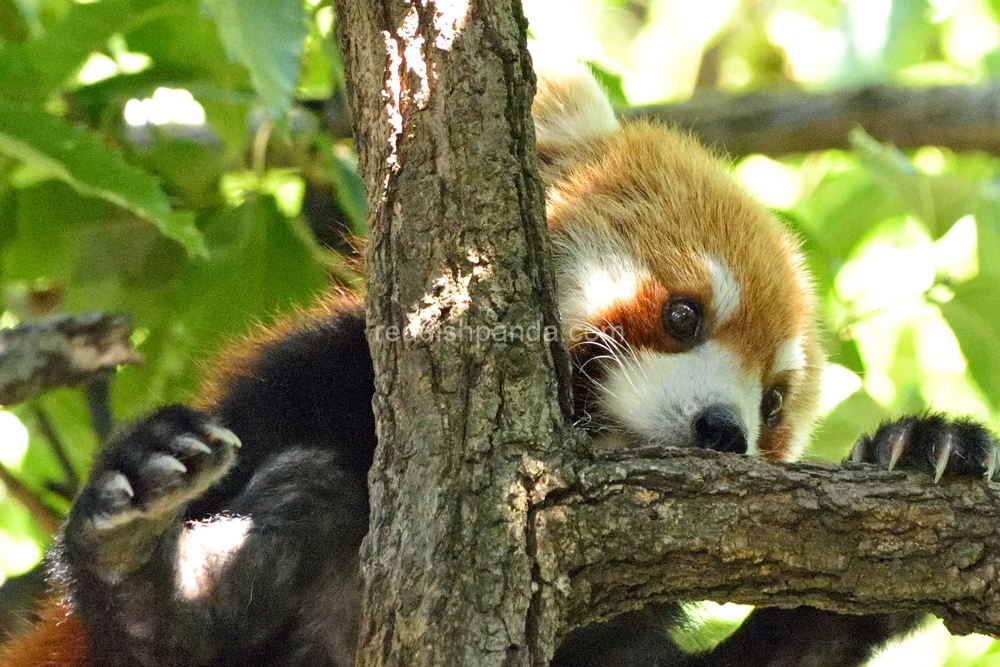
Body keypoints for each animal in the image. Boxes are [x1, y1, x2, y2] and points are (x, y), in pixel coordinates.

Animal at [3, 60, 996, 667]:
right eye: (682, 313)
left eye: (775, 402)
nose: (724, 431)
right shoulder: (300, 380)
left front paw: (921, 450)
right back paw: (144, 552)